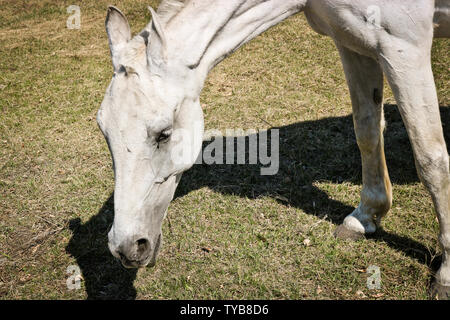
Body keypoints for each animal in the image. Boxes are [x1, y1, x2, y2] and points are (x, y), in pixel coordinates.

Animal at [96, 0, 450, 298]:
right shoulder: (355, 43)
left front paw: (445, 275)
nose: (125, 247)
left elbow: (431, 159)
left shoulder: (404, 48)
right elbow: (366, 131)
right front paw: (365, 217)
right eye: (103, 130)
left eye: (164, 134)